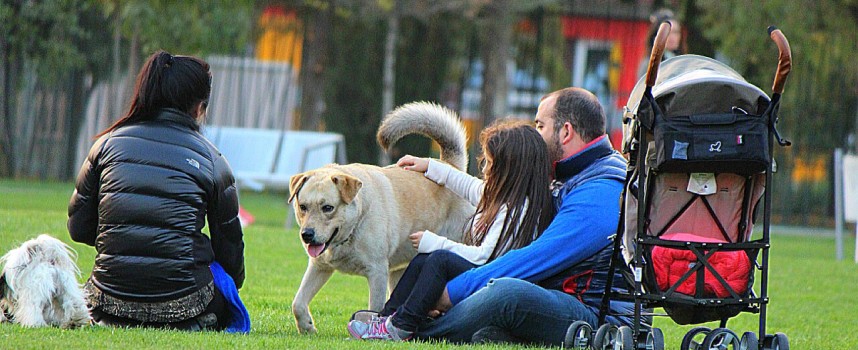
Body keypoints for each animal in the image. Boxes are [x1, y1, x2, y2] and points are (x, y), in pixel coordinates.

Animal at [290, 102, 474, 334]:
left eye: (328, 208)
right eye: (302, 207)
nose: (306, 235)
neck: (355, 226)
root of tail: (451, 167)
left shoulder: (377, 272)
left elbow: (375, 307)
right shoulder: (319, 267)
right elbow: (298, 303)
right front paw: (307, 327)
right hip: (400, 271)